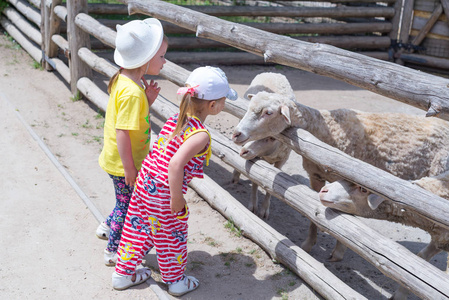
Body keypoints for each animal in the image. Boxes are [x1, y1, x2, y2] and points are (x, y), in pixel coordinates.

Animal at [233, 72, 448, 255]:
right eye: (250, 107)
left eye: (268, 112)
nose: (236, 133)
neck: (325, 129)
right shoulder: (315, 176)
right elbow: (313, 211)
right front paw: (309, 243)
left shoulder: (347, 180)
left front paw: (338, 251)